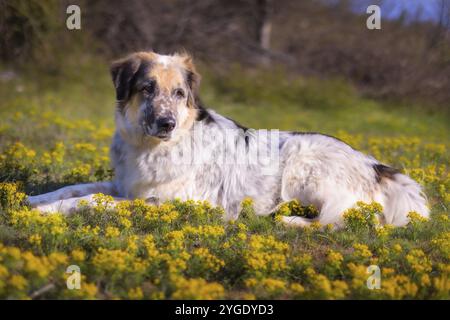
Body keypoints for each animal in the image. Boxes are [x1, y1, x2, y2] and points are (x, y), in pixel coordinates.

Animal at [28, 51, 428, 228]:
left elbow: (91, 200)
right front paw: (35, 199)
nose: (166, 123)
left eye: (179, 93)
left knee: (340, 221)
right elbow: (75, 188)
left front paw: (46, 211)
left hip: (304, 166)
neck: (154, 147)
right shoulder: (127, 185)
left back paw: (288, 220)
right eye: (147, 89)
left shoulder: (166, 202)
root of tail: (377, 167)